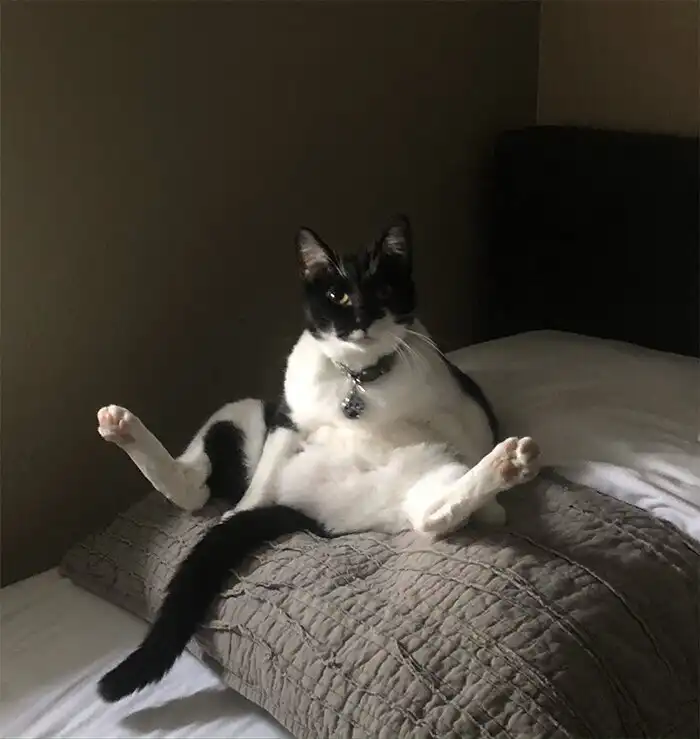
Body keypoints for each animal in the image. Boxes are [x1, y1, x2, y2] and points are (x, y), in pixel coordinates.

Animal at [95, 215, 540, 703]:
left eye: (384, 290)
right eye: (337, 296)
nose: (362, 318)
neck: (360, 382)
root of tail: (305, 512)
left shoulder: (460, 404)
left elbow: (473, 439)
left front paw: (495, 505)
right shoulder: (286, 421)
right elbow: (258, 483)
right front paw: (239, 512)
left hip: (423, 475)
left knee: (434, 515)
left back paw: (509, 462)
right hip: (241, 414)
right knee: (195, 488)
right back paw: (121, 426)